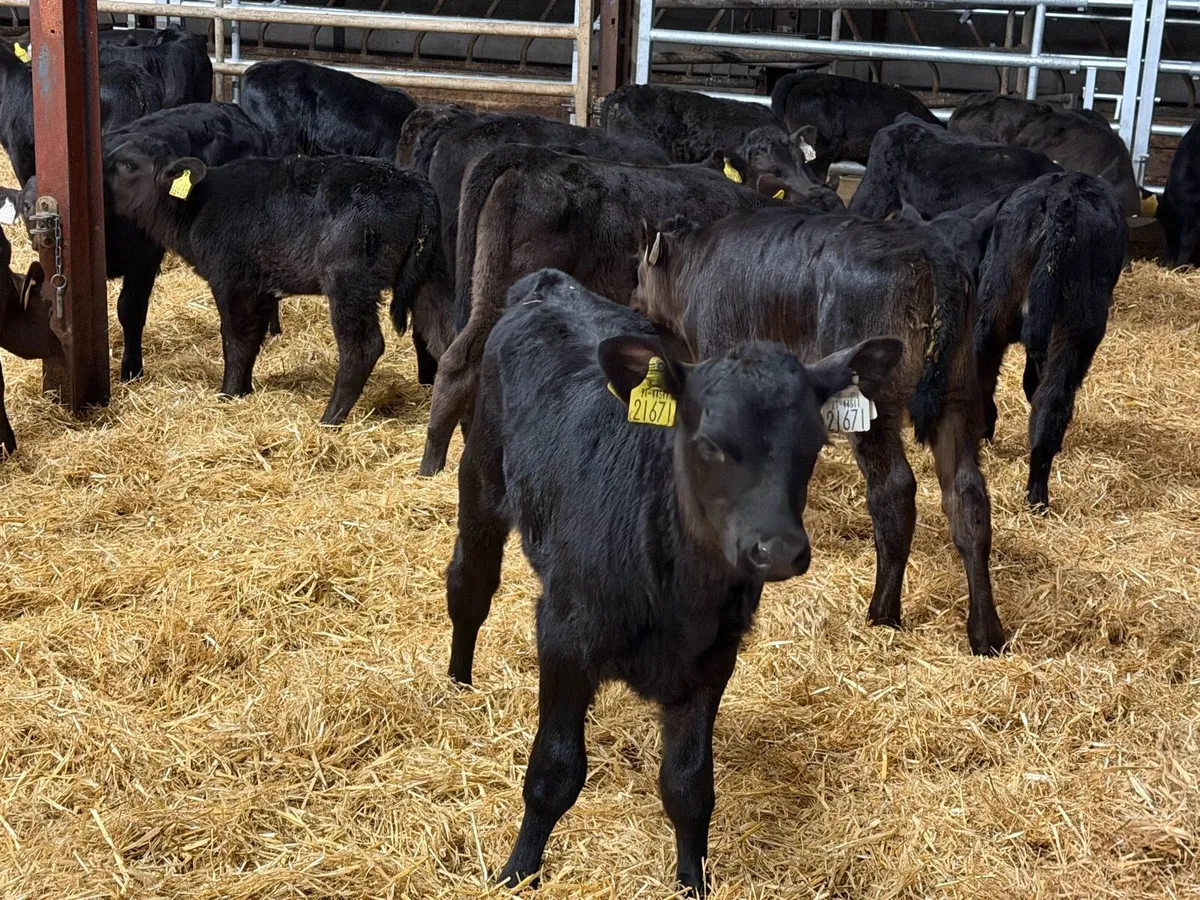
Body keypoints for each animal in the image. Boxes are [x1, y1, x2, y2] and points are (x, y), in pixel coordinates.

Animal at [1, 102, 270, 382]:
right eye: (26, 206)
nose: (39, 237)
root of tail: (229, 108)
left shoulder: (145, 258)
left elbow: (130, 308)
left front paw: (131, 368)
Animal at [103, 140, 439, 424]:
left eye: (129, 165)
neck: (198, 207)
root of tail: (413, 182)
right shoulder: (261, 289)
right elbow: (253, 338)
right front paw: (243, 390)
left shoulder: (232, 281)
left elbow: (236, 339)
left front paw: (228, 393)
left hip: (350, 282)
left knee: (362, 347)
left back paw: (330, 418)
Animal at [447, 267, 902, 894]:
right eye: (709, 444)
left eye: (813, 445)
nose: (778, 549)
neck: (676, 593)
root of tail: (552, 284)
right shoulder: (562, 631)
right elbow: (553, 771)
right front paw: (518, 870)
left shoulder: (712, 658)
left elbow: (688, 786)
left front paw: (693, 881)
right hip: (482, 476)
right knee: (470, 584)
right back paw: (457, 682)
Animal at [631, 202, 1005, 656]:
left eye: (638, 271)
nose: (632, 301)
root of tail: (935, 260)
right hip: (958, 396)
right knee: (966, 497)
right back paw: (986, 632)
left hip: (873, 401)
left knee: (894, 491)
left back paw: (883, 611)